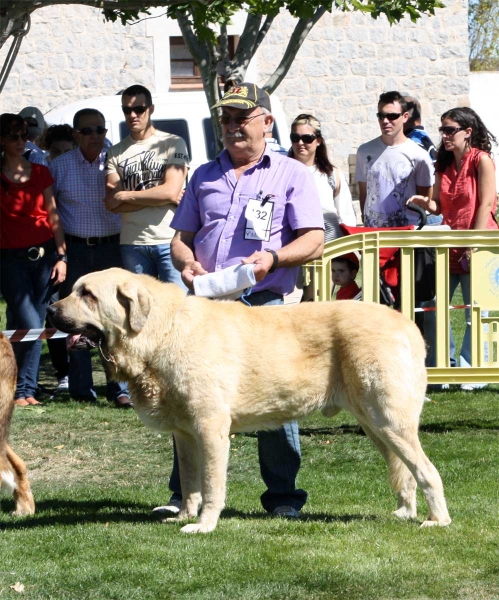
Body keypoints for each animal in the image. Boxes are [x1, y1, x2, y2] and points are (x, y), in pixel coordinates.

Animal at [47, 268, 454, 536]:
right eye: (74, 290)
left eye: (88, 295)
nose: (50, 310)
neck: (161, 334)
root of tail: (408, 324)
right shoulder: (185, 435)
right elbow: (191, 483)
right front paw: (183, 516)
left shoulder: (211, 429)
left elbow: (211, 485)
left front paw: (204, 526)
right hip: (376, 426)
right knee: (405, 472)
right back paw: (404, 512)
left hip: (389, 421)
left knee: (427, 471)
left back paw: (437, 521)